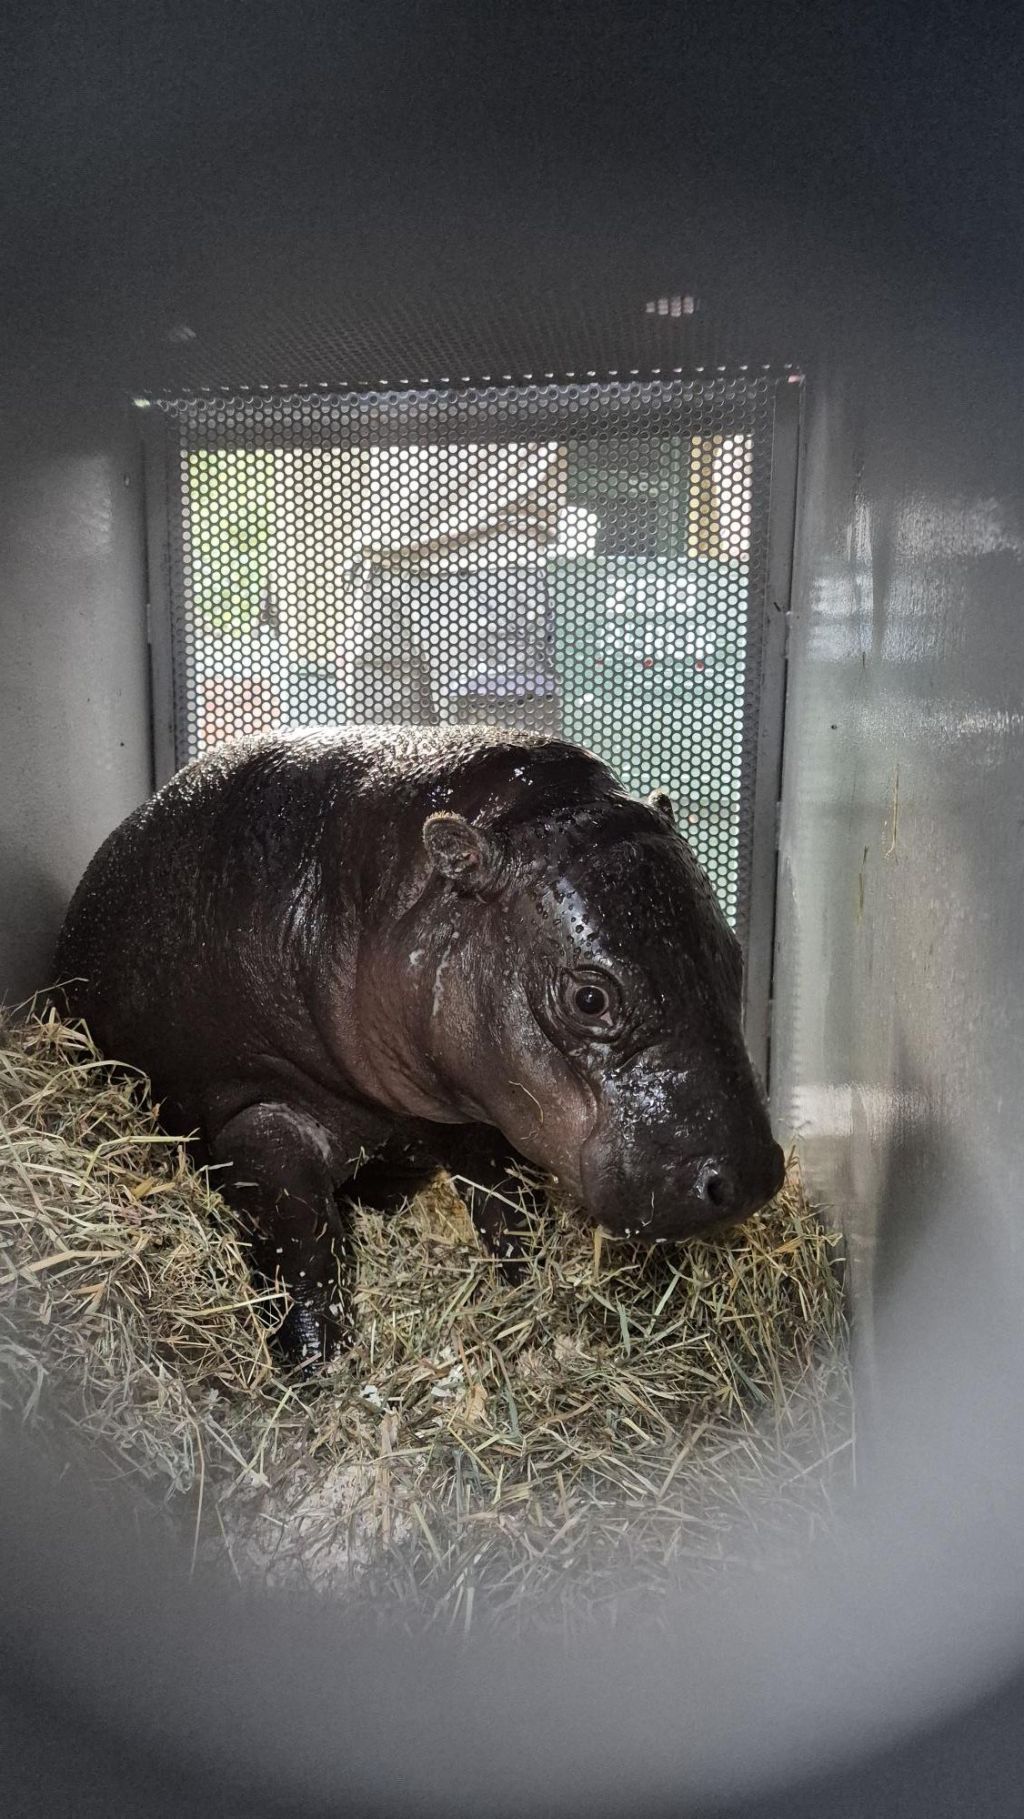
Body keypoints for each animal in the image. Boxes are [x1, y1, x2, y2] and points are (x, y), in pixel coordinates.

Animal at [54, 726, 784, 1365]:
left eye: (734, 952)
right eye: (589, 998)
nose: (751, 1176)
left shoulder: (475, 1106)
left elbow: (508, 1206)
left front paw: (532, 1290)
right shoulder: (256, 1112)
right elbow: (302, 1243)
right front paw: (316, 1364)